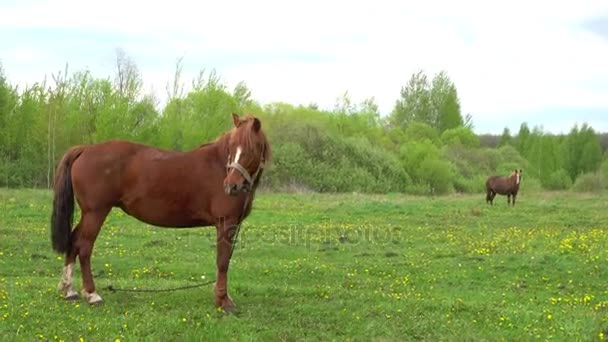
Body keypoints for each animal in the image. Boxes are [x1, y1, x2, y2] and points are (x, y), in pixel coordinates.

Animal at [51, 112, 270, 310]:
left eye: (251, 148)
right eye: (232, 148)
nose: (231, 186)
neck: (219, 166)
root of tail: (86, 149)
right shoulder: (226, 222)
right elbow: (223, 261)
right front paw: (223, 301)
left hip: (88, 214)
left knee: (73, 241)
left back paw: (69, 290)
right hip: (96, 212)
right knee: (84, 246)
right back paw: (92, 294)